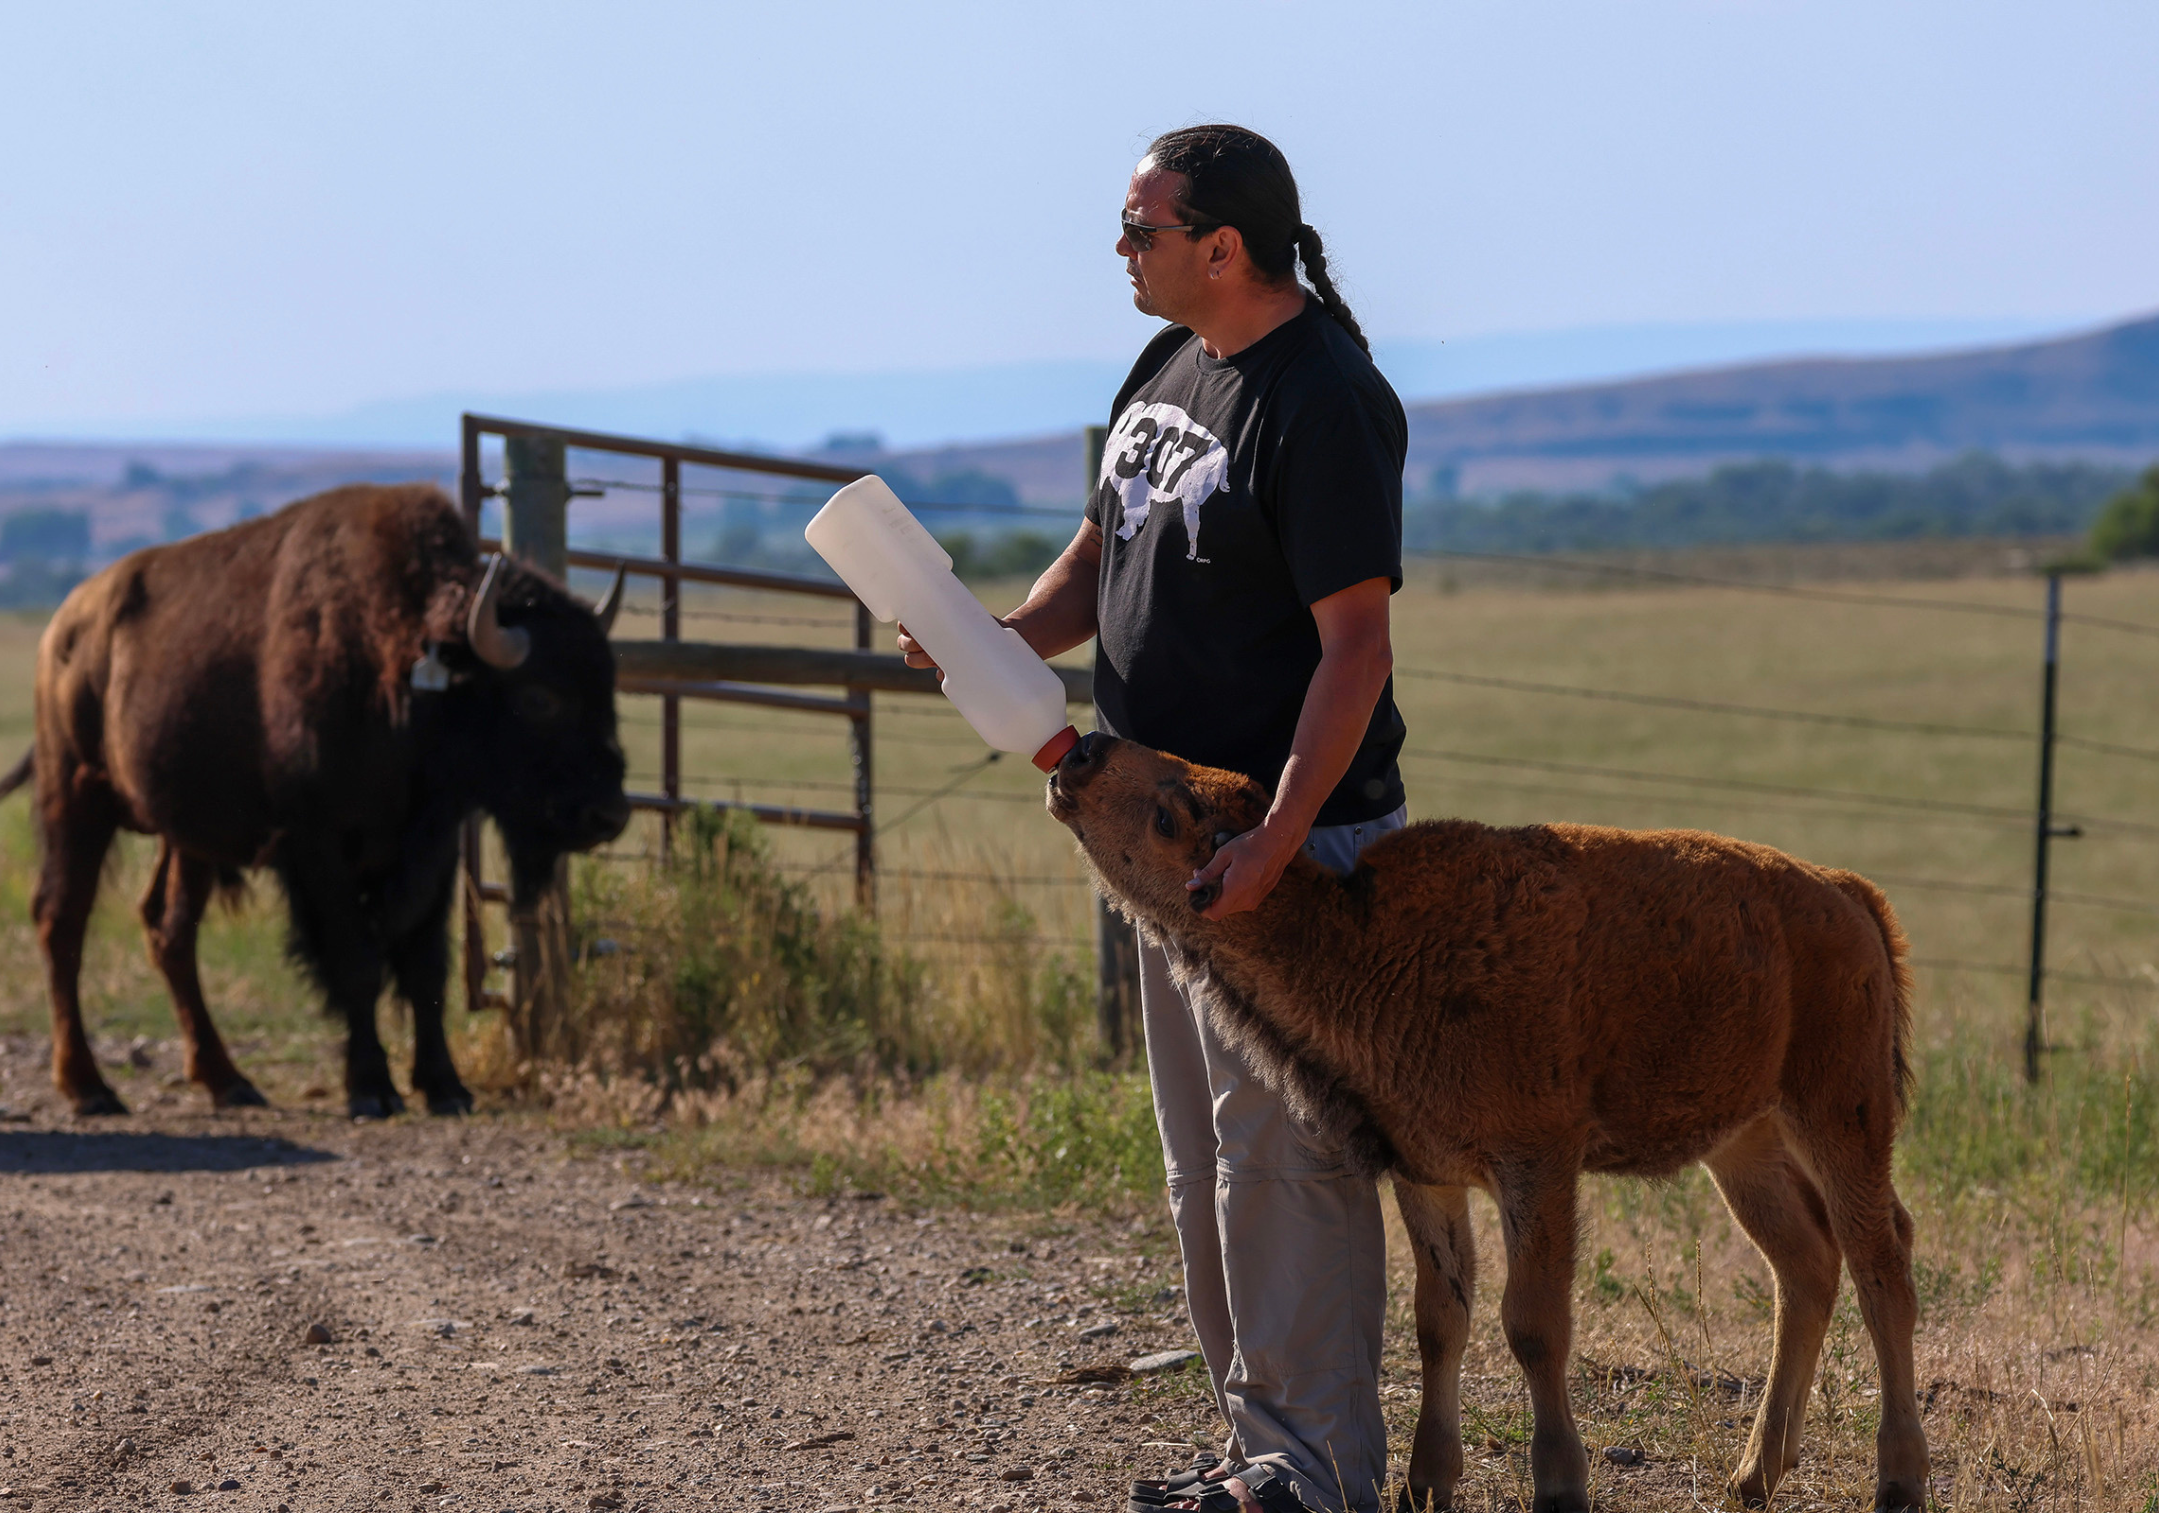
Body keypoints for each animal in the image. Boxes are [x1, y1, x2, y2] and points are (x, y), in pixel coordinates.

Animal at [0, 483, 631, 1119]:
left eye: (607, 690)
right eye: (539, 697)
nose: (609, 814)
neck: (401, 659)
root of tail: (65, 627)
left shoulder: (434, 849)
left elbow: (425, 967)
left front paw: (446, 1087)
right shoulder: (318, 850)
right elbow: (357, 964)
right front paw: (373, 1089)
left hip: (189, 840)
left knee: (169, 930)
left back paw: (229, 1081)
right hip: (77, 796)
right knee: (62, 920)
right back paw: (90, 1088)